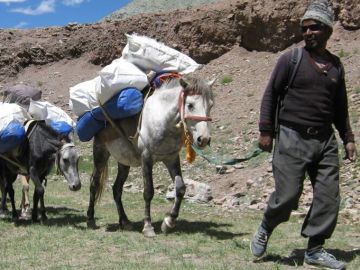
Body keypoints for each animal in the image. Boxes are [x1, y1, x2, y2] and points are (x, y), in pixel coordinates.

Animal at [87, 74, 214, 236]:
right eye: (190, 105)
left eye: (210, 105)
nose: (203, 139)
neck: (163, 119)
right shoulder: (146, 158)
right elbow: (148, 191)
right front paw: (148, 227)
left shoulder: (171, 158)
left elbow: (180, 188)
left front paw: (169, 222)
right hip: (100, 152)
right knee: (94, 184)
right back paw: (90, 220)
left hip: (124, 161)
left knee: (117, 189)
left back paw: (125, 221)